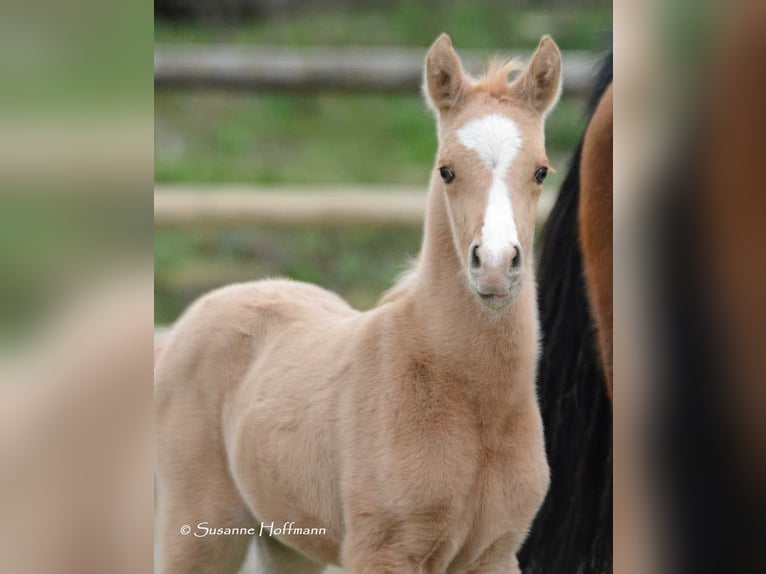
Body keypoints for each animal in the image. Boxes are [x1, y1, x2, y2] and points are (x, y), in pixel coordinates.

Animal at [156, 33, 564, 572]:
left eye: (541, 171)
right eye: (446, 171)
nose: (496, 266)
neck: (473, 403)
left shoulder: (494, 555)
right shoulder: (382, 551)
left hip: (286, 539)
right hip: (199, 530)